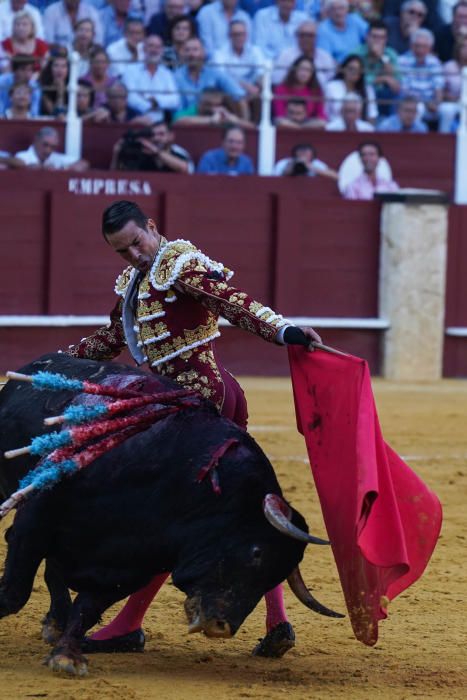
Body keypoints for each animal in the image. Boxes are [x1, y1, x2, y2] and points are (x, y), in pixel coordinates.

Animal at [0, 356, 338, 672]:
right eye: (256, 553)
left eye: (275, 576)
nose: (221, 626)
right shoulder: (35, 519)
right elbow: (15, 593)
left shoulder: (133, 565)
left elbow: (87, 608)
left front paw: (67, 656)